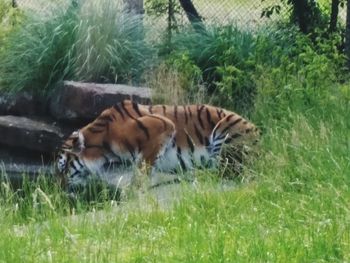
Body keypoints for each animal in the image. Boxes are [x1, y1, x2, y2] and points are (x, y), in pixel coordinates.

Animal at [56, 100, 260, 191]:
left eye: (63, 167)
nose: (60, 188)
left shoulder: (162, 126)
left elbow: (143, 166)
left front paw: (136, 189)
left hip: (225, 130)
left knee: (227, 171)